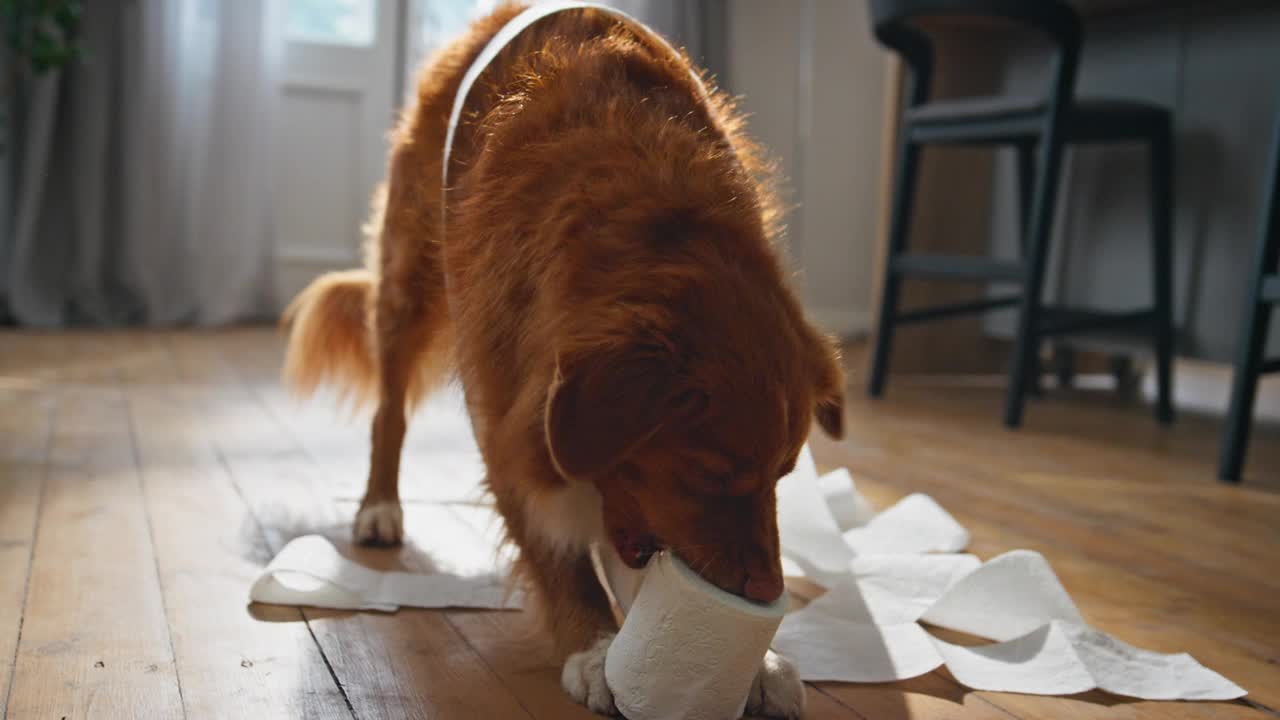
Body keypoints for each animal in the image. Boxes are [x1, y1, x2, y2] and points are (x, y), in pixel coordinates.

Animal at [285, 4, 844, 712]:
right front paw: (595, 643)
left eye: (783, 474)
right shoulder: (506, 411)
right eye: (711, 472)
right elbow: (552, 542)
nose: (766, 592)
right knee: (390, 413)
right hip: (408, 283)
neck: (656, 215)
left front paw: (756, 662)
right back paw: (378, 508)